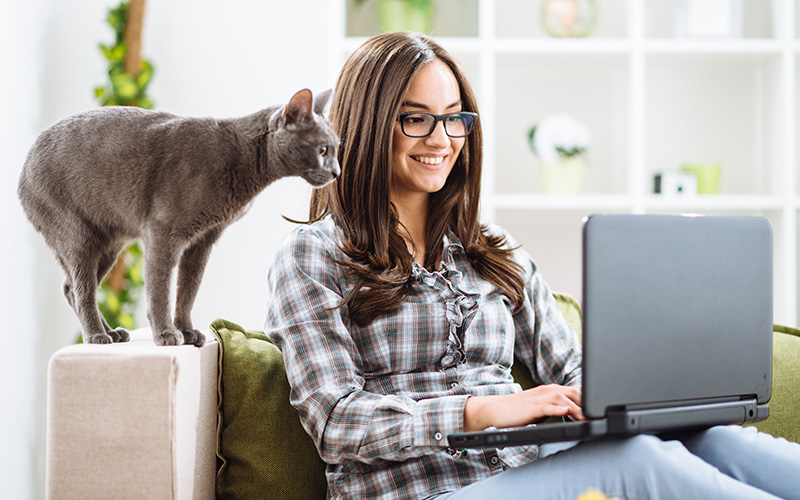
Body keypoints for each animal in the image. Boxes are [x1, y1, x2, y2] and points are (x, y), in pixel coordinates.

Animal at [18, 89, 338, 348]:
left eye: (337, 149)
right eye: (322, 149)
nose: (336, 172)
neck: (244, 162)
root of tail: (24, 166)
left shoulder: (203, 240)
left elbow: (188, 290)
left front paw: (187, 331)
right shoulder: (162, 232)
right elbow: (160, 288)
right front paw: (166, 334)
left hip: (109, 243)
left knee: (71, 288)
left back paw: (112, 333)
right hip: (77, 233)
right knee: (82, 288)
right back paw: (96, 335)